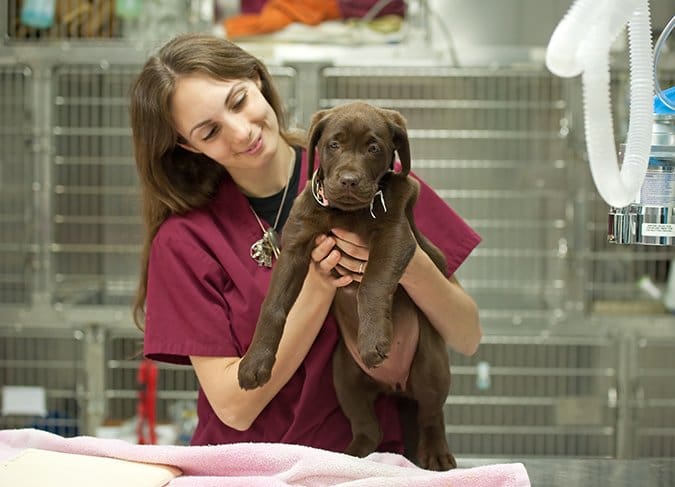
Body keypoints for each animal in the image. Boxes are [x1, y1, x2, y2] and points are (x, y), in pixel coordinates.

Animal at [129, 33, 484, 454]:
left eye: (374, 147)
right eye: (333, 145)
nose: (348, 180)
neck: (346, 212)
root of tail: (394, 385)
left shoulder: (397, 237)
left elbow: (373, 283)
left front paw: (374, 339)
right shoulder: (298, 244)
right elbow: (273, 306)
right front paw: (254, 364)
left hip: (430, 365)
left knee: (431, 415)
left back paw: (437, 455)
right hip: (344, 376)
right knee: (369, 426)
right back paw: (353, 455)